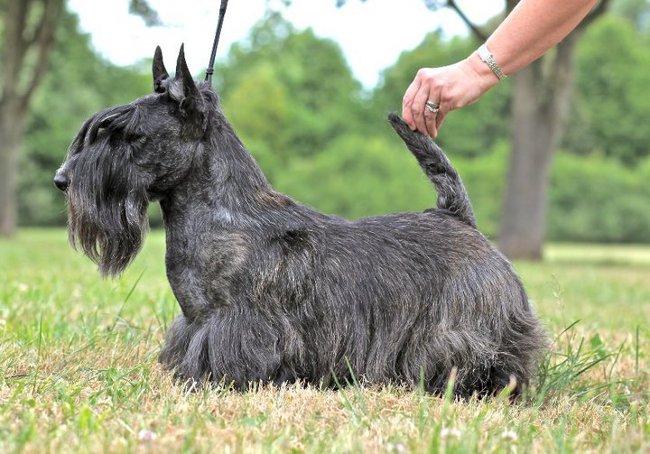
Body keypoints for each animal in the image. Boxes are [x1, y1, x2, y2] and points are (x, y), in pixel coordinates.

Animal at [54, 44, 540, 396]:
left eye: (132, 136)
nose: (61, 179)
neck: (222, 215)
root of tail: (457, 217)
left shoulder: (239, 324)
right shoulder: (194, 324)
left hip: (465, 327)